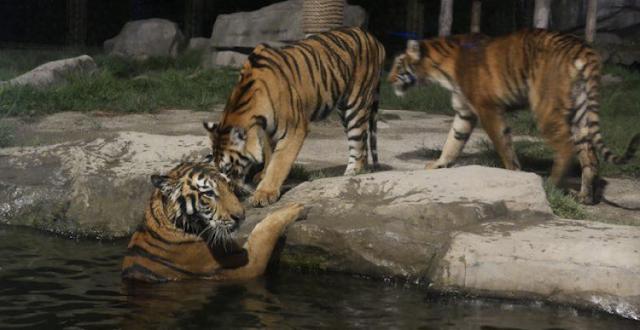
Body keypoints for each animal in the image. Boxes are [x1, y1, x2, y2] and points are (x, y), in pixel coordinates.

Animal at [123, 161, 308, 282]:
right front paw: (296, 207)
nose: (241, 216)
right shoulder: (246, 267)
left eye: (229, 186)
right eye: (209, 194)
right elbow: (263, 234)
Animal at [205, 27, 384, 206]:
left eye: (228, 168)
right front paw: (263, 175)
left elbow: (279, 162)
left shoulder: (295, 129)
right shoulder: (268, 130)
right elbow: (270, 154)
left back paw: (351, 173)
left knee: (358, 144)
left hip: (356, 103)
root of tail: (373, 38)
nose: (230, 192)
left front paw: (264, 193)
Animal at [390, 29, 640, 204]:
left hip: (545, 108)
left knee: (565, 148)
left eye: (398, 65)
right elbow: (453, 141)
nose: (389, 79)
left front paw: (515, 174)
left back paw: (549, 186)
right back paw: (585, 197)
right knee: (590, 156)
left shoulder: (487, 108)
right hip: (580, 114)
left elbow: (503, 145)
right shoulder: (465, 112)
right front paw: (439, 165)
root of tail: (581, 46)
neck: (440, 66)